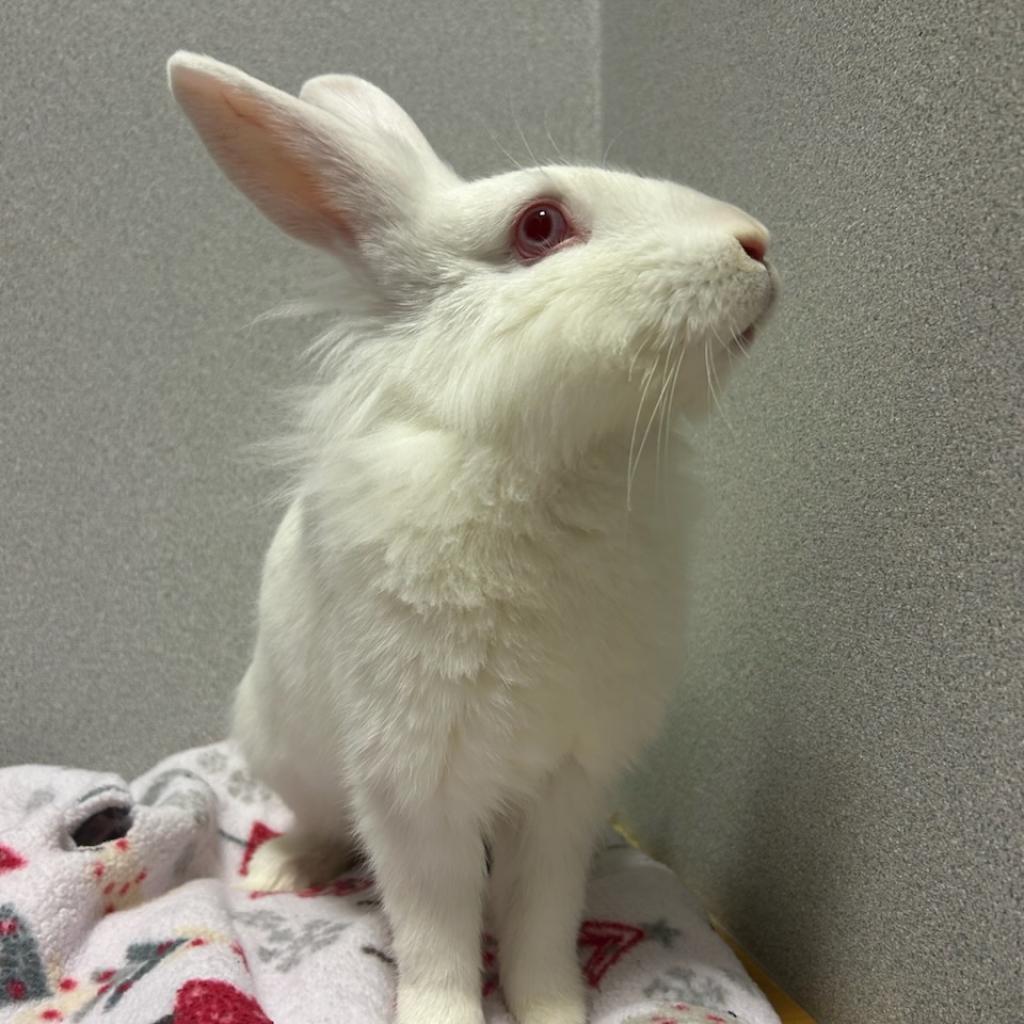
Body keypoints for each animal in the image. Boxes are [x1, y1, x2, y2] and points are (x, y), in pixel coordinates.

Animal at [167, 51, 775, 1024]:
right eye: (540, 225)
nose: (757, 242)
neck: (554, 468)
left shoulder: (568, 787)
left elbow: (540, 920)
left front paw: (558, 1010)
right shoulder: (416, 787)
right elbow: (436, 930)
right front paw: (443, 1013)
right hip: (288, 751)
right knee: (319, 820)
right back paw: (282, 867)